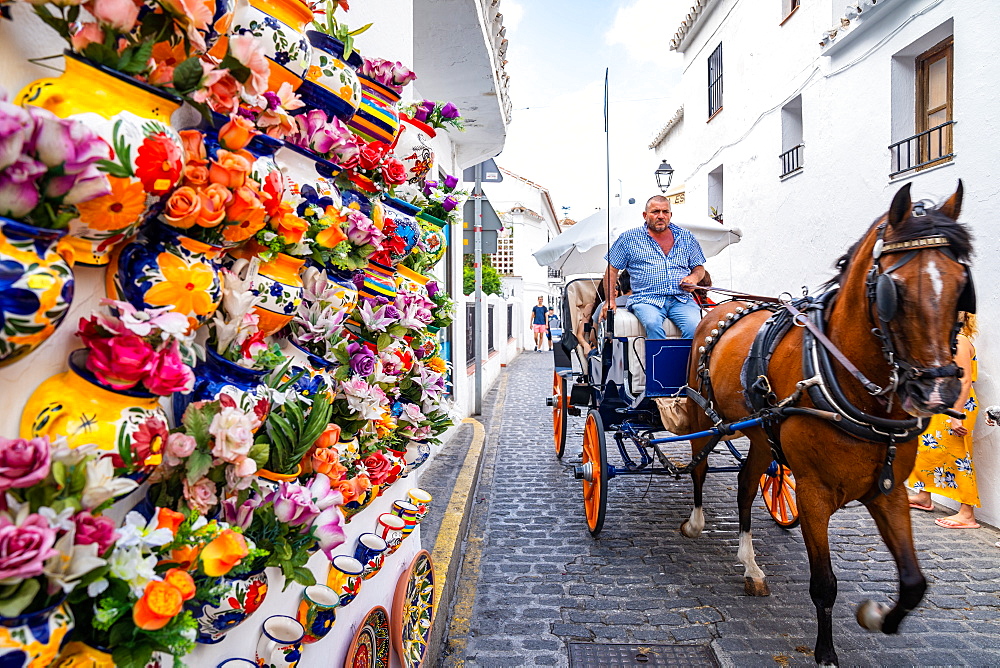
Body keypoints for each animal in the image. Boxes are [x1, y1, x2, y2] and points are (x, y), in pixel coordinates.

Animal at [684, 183, 972, 668]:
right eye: (893, 289)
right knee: (700, 467)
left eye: (962, 285)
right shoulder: (814, 493)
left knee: (746, 483)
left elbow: (914, 583)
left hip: (761, 432)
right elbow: (824, 583)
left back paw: (751, 564)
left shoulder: (888, 491)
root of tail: (724, 306)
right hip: (703, 415)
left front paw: (879, 617)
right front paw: (826, 652)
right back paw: (696, 521)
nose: (939, 390)